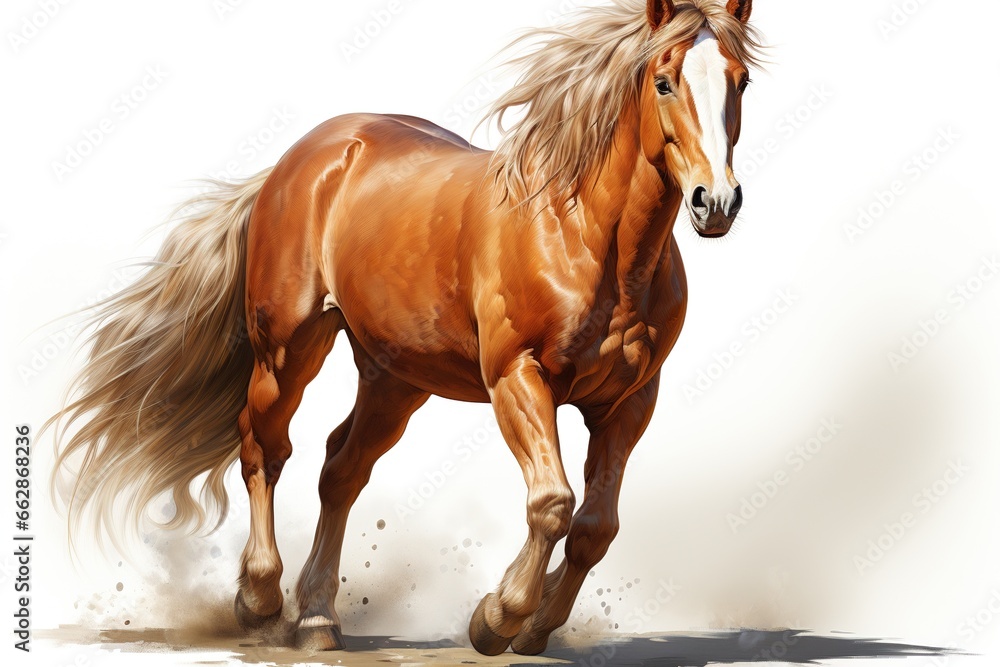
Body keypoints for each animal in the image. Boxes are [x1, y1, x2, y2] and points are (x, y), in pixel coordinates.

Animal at [49, 0, 763, 656]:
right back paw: (260, 600)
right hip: (287, 351)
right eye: (664, 80)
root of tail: (303, 157)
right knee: (262, 446)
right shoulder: (518, 379)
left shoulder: (629, 402)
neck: (584, 235)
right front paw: (497, 619)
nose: (716, 202)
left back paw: (317, 619)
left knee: (341, 467)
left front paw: (536, 631)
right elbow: (553, 504)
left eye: (742, 79)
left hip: (396, 378)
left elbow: (595, 527)